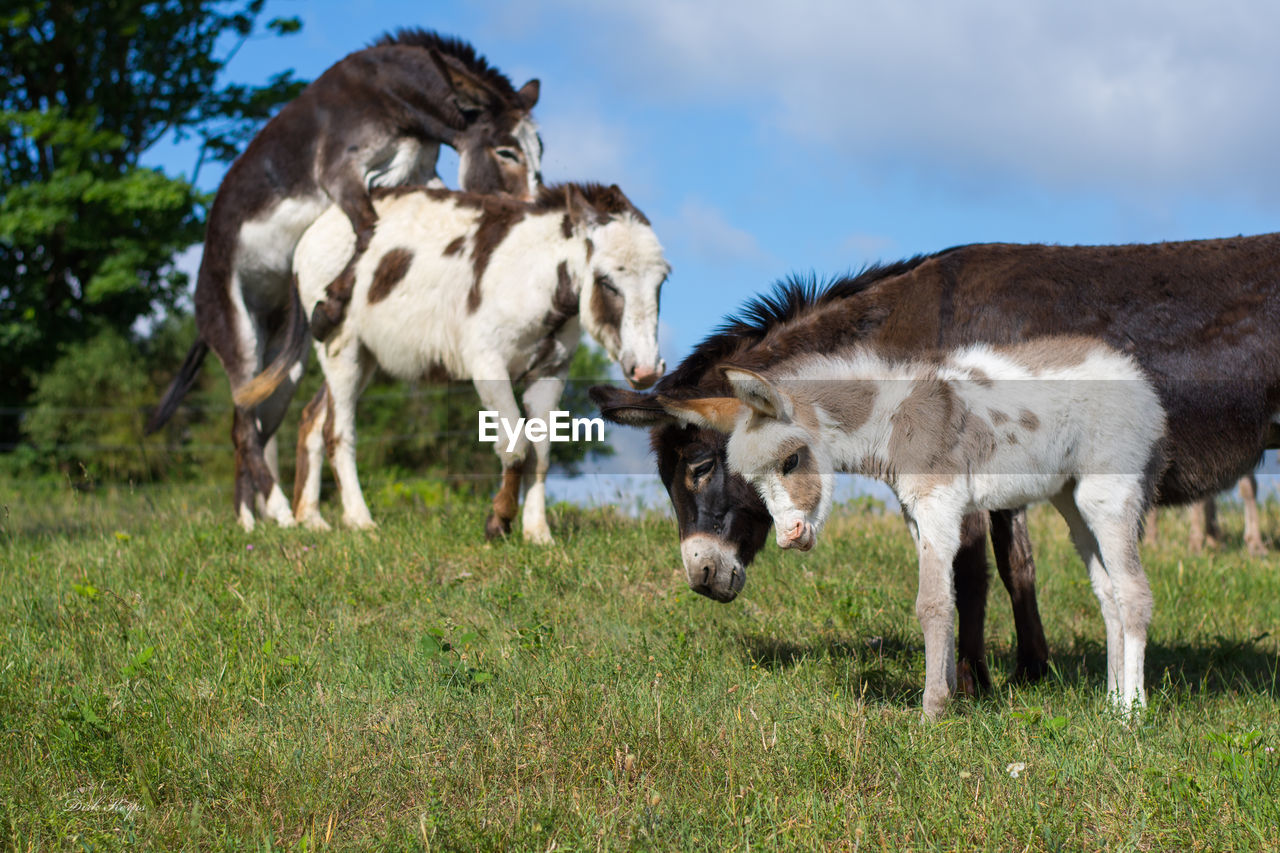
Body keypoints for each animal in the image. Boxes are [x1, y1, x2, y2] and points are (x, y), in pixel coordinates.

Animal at [670, 335, 1172, 712]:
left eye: (792, 460)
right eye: (753, 482)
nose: (792, 538)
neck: (892, 420)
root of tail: (1141, 384)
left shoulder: (938, 503)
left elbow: (931, 603)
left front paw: (933, 709)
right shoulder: (917, 513)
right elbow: (945, 598)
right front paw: (950, 692)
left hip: (1109, 493)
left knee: (1134, 593)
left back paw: (1132, 714)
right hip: (1072, 500)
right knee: (1108, 593)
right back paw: (1110, 702)